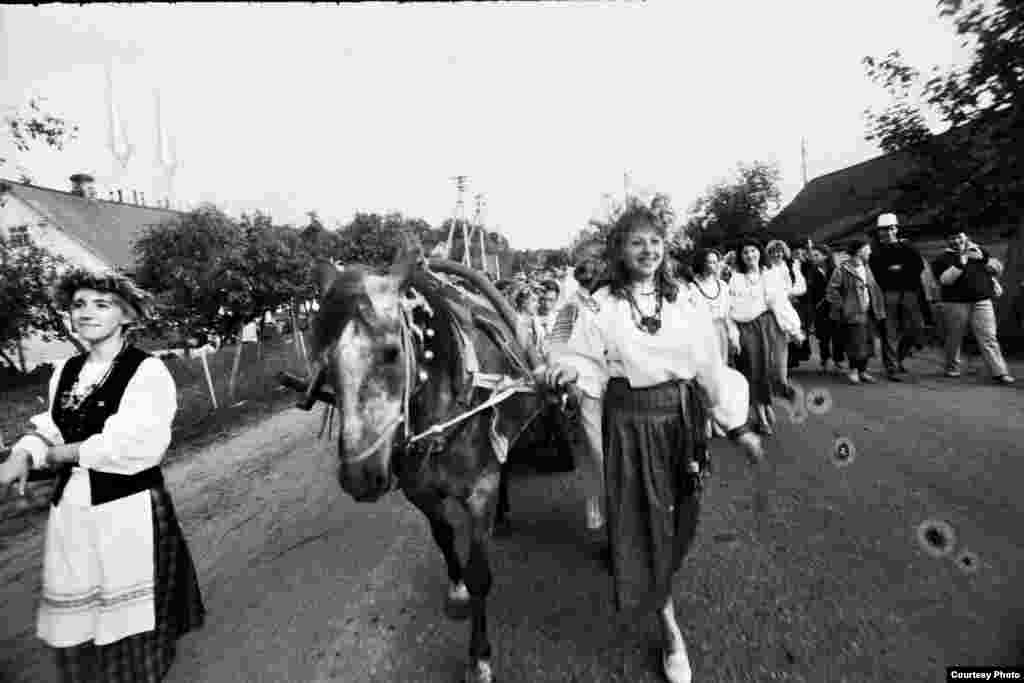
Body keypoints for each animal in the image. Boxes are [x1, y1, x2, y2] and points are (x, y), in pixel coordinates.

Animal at [286, 252, 561, 683]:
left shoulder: (480, 490)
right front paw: (457, 589)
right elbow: (444, 536)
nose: (359, 477)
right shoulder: (419, 490)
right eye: (324, 362)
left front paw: (479, 657)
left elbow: (480, 573)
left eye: (391, 353)